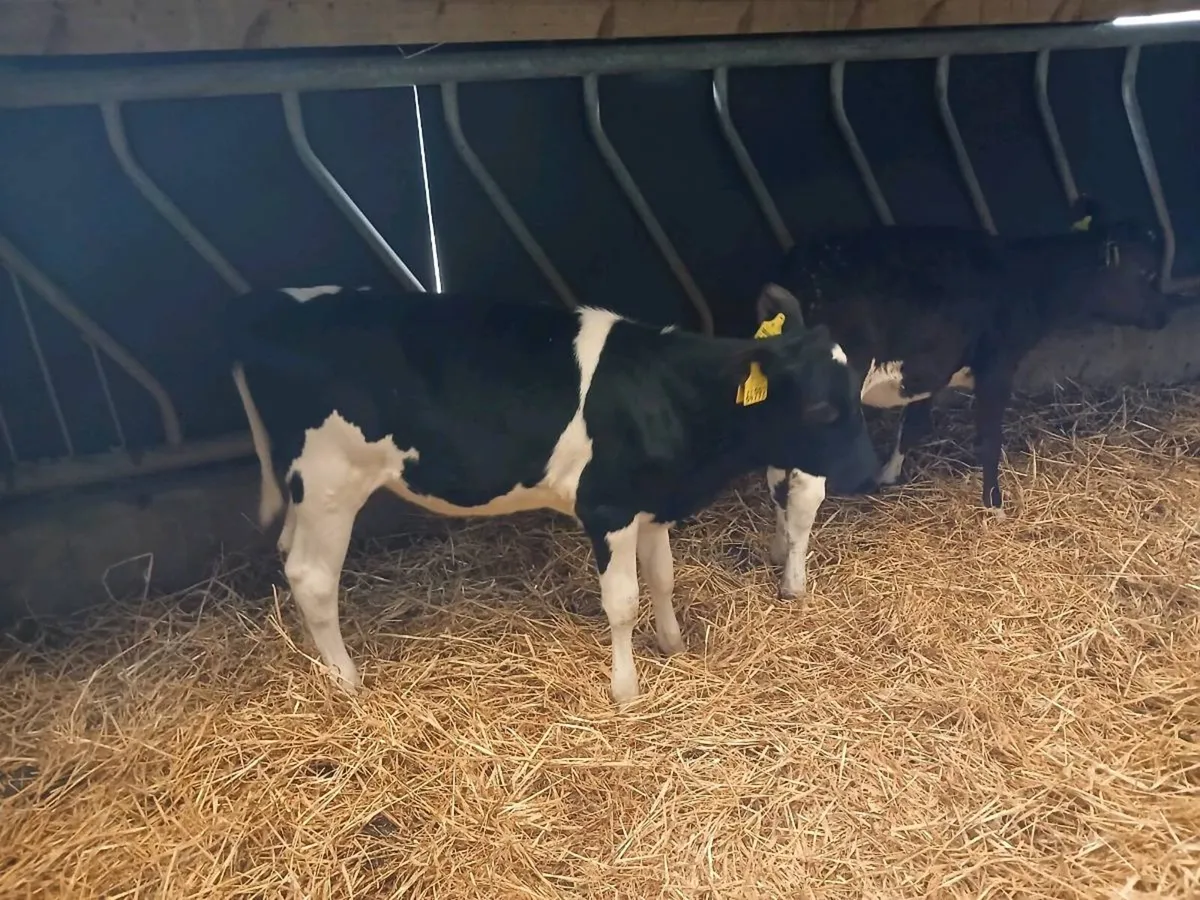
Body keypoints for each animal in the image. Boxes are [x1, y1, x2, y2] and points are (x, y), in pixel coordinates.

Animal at [228, 286, 879, 704]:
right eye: (821, 408)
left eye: (855, 387)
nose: (869, 472)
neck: (665, 392)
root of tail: (268, 308)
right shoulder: (607, 508)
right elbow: (623, 601)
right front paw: (627, 690)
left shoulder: (651, 504)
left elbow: (664, 577)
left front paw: (672, 645)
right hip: (330, 477)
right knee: (312, 574)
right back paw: (346, 680)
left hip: (308, 489)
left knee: (289, 555)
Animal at [755, 198, 1171, 600]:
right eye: (1144, 273)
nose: (1165, 314)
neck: (1023, 277)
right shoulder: (997, 368)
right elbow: (989, 441)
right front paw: (996, 509)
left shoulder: (930, 370)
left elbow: (913, 426)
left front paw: (888, 476)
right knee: (804, 487)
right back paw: (794, 583)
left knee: (778, 479)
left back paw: (779, 550)